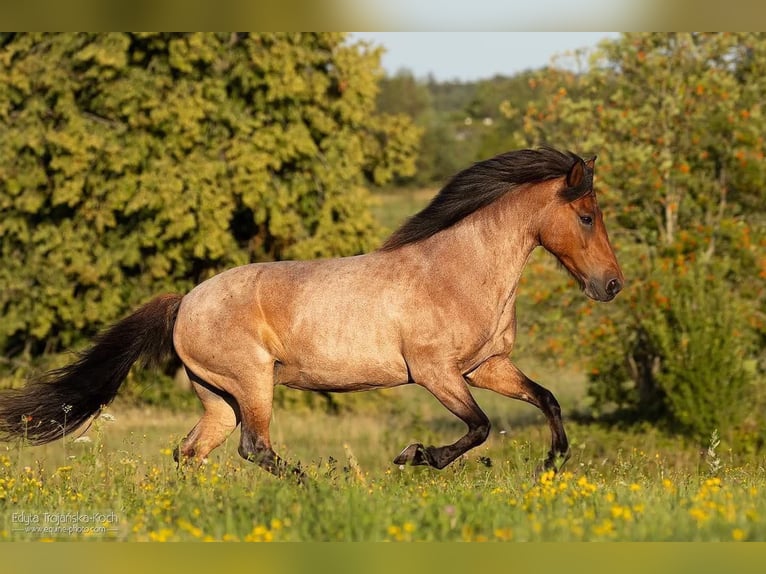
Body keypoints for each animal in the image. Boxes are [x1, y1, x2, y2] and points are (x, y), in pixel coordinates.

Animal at [0, 146, 624, 480]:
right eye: (587, 216)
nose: (612, 285)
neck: (459, 270)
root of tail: (185, 302)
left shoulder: (486, 367)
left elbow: (546, 398)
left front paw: (552, 464)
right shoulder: (435, 373)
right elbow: (478, 427)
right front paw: (415, 456)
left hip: (218, 397)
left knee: (191, 452)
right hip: (252, 384)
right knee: (254, 448)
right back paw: (316, 482)